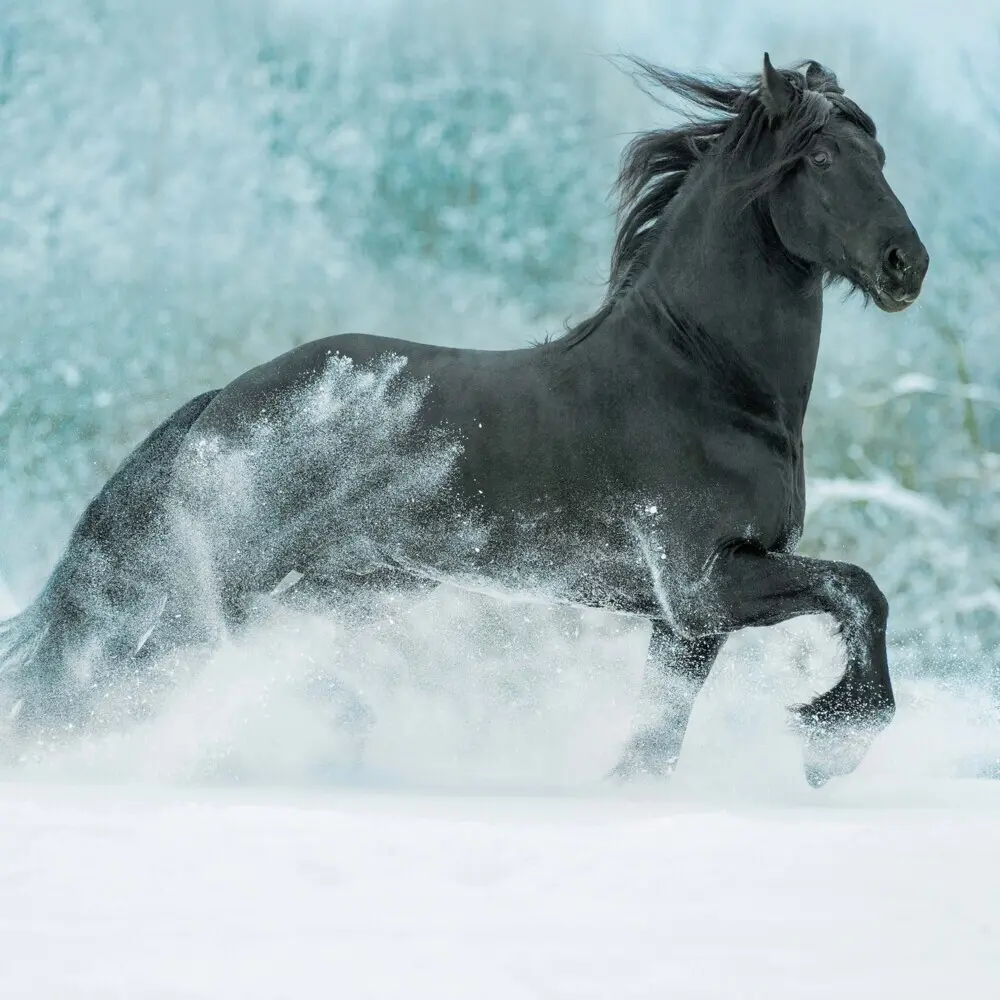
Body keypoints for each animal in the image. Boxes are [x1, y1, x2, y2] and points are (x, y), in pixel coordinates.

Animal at [0, 54, 928, 786]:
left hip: (349, 585)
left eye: (881, 154)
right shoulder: (702, 584)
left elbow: (657, 739)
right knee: (142, 673)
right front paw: (833, 741)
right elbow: (860, 589)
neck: (704, 379)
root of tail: (221, 400)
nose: (905, 264)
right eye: (819, 157)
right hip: (238, 580)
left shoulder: (683, 622)